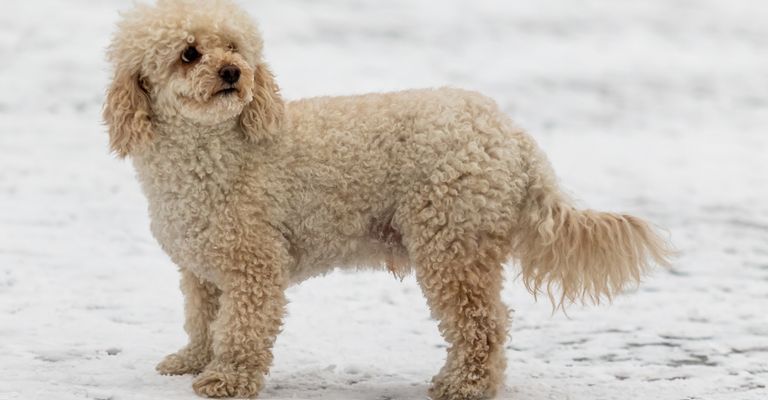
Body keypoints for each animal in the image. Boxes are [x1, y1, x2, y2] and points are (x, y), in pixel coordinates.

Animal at [103, 1, 672, 398]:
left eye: (234, 48)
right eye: (189, 53)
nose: (232, 73)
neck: (214, 149)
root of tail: (514, 137)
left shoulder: (254, 265)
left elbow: (243, 329)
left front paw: (227, 380)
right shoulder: (202, 268)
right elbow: (203, 318)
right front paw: (193, 360)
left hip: (451, 241)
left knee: (484, 324)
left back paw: (464, 384)